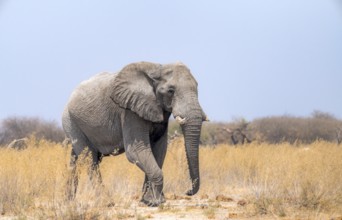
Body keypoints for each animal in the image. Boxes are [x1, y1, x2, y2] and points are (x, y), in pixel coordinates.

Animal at [62, 61, 208, 206]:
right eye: (171, 91)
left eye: (197, 87)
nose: (188, 192)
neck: (158, 69)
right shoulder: (130, 111)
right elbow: (136, 151)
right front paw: (155, 202)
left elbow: (159, 150)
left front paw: (148, 200)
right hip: (72, 121)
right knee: (89, 159)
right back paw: (106, 202)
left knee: (76, 158)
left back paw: (69, 202)